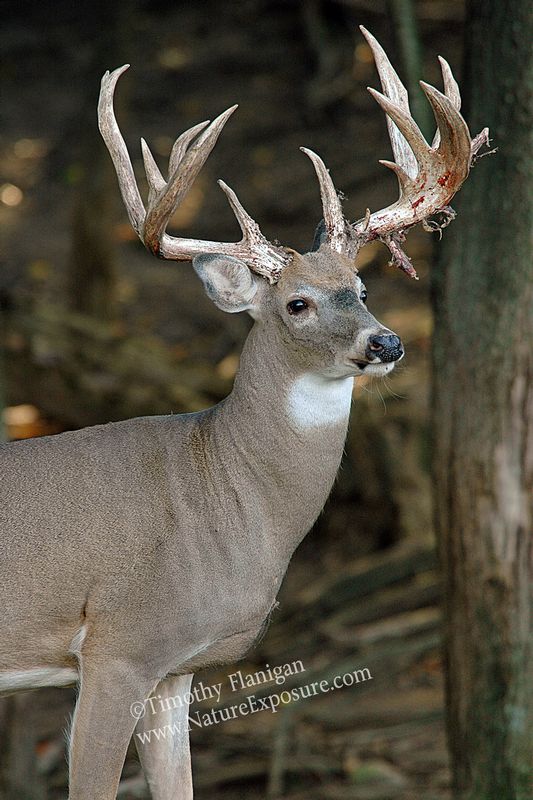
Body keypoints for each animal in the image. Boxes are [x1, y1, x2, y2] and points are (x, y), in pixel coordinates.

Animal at [0, 27, 488, 800]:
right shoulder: (117, 643)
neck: (222, 495)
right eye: (296, 303)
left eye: (360, 287)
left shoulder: (176, 668)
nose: (386, 342)